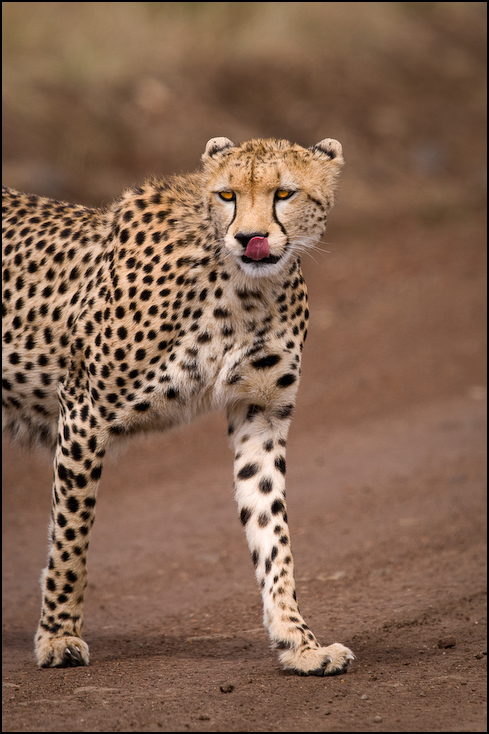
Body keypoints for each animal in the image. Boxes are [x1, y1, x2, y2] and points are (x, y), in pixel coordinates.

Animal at [3, 137, 354, 680]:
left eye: (284, 193)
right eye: (227, 194)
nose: (250, 238)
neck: (243, 287)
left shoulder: (260, 414)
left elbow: (271, 531)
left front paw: (299, 642)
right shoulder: (84, 407)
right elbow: (71, 535)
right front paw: (58, 636)